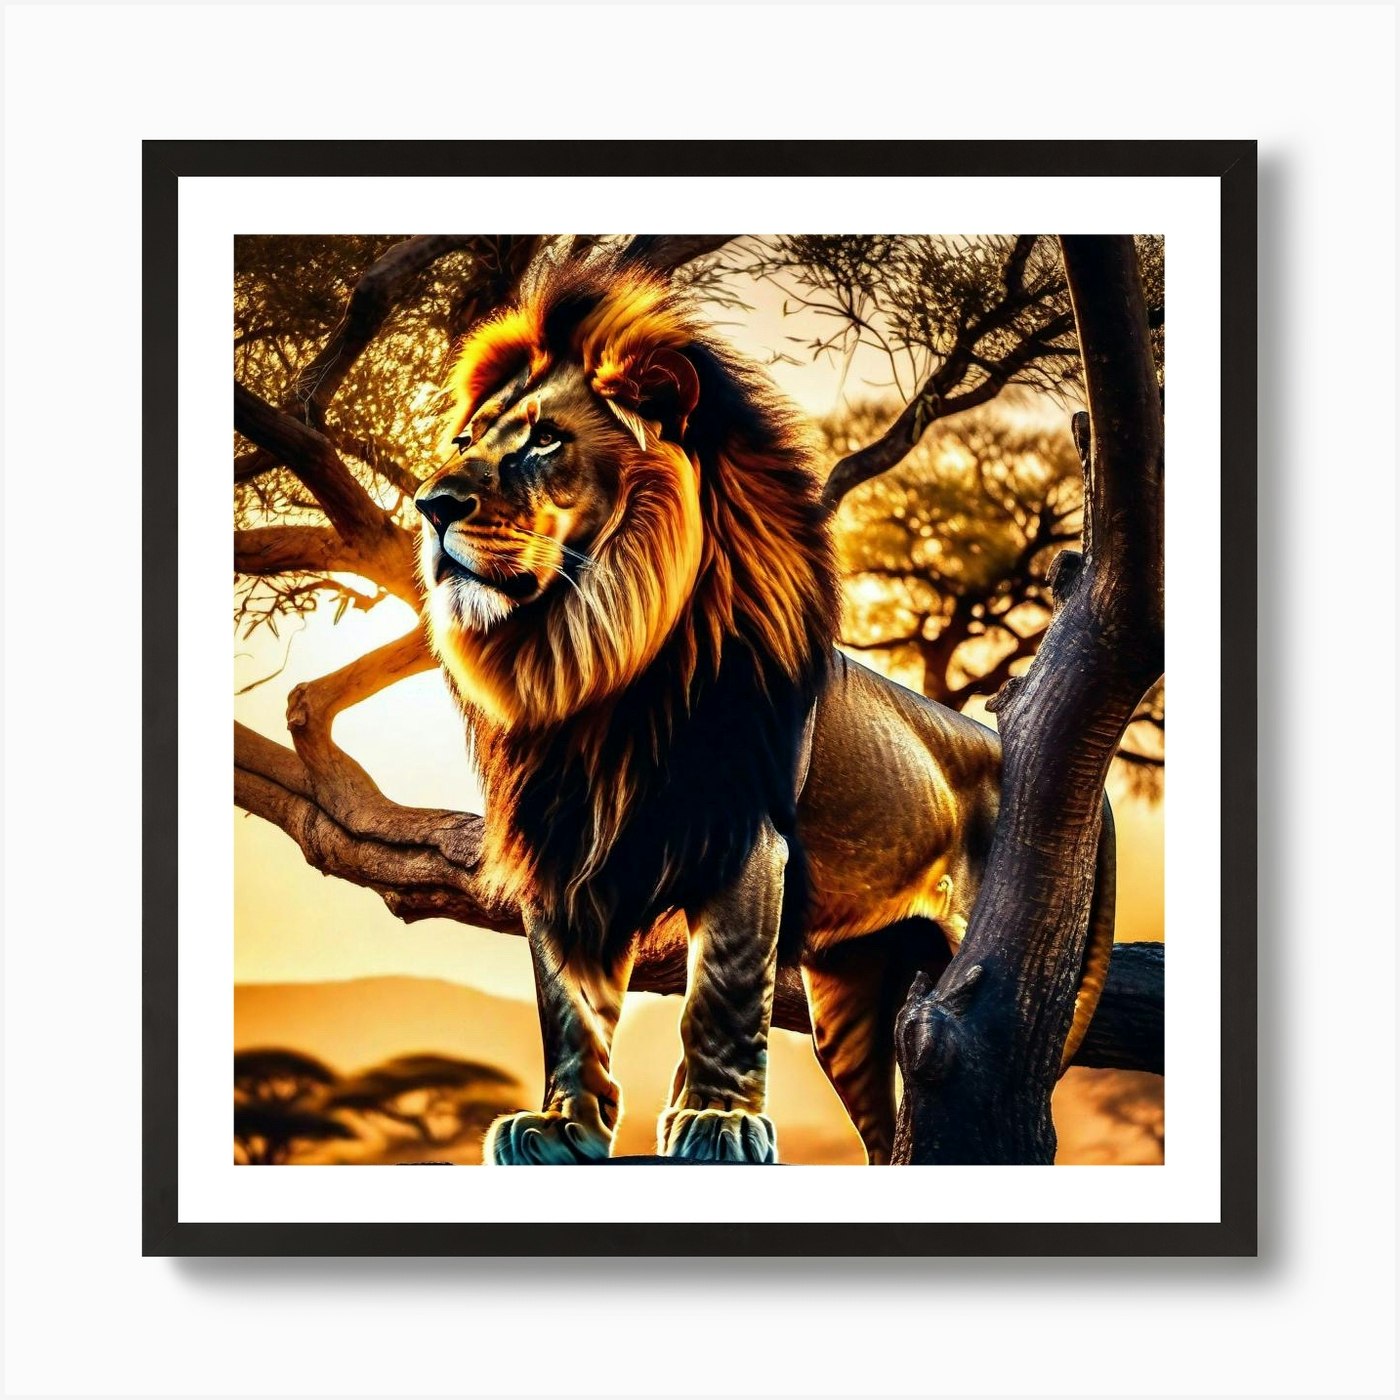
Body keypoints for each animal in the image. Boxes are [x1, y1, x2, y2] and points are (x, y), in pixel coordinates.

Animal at [413, 259, 1115, 1165]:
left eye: (544, 440)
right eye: (465, 443)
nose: (431, 505)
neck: (590, 661)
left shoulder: (746, 836)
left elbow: (724, 987)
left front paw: (716, 1121)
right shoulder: (564, 848)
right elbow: (568, 1005)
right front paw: (564, 1126)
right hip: (852, 1003)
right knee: (884, 1122)